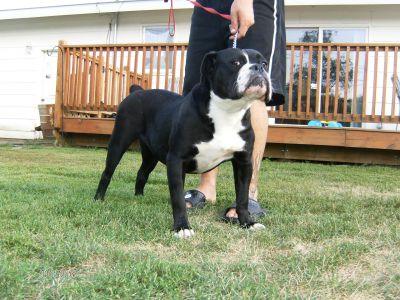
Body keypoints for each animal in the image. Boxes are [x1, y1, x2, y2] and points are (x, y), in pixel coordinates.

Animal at [94, 48, 272, 238]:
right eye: (235, 63)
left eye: (264, 63)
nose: (258, 68)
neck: (227, 112)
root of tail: (137, 90)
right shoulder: (176, 160)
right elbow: (178, 198)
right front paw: (182, 227)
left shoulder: (243, 163)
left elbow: (243, 197)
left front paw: (247, 223)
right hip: (119, 143)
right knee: (107, 172)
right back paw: (98, 199)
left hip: (150, 156)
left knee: (142, 172)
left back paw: (139, 196)